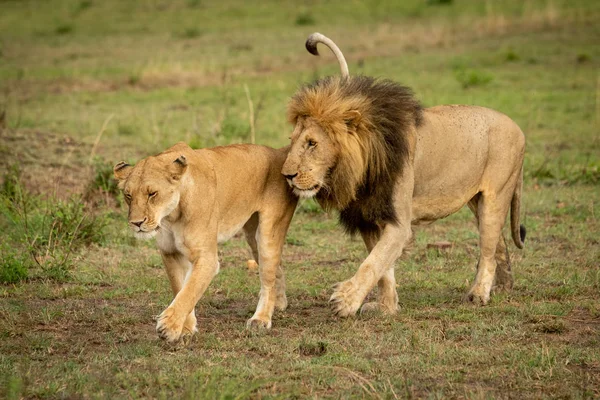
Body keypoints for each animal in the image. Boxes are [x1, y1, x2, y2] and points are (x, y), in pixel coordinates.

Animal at [113, 142, 298, 342]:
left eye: (152, 194)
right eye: (128, 195)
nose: (136, 223)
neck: (171, 216)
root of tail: (278, 151)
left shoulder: (206, 258)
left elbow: (189, 291)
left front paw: (169, 327)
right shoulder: (170, 253)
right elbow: (181, 288)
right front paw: (186, 328)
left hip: (267, 233)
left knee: (268, 277)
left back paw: (261, 319)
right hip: (252, 237)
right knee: (277, 269)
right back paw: (279, 304)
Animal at [282, 32, 524, 318]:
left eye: (312, 143)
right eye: (292, 141)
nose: (286, 175)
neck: (362, 168)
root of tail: (517, 127)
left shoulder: (399, 223)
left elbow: (373, 262)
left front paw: (346, 300)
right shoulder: (369, 216)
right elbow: (383, 268)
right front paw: (386, 307)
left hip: (495, 196)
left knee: (488, 247)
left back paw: (479, 294)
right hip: (477, 201)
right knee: (500, 243)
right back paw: (504, 286)